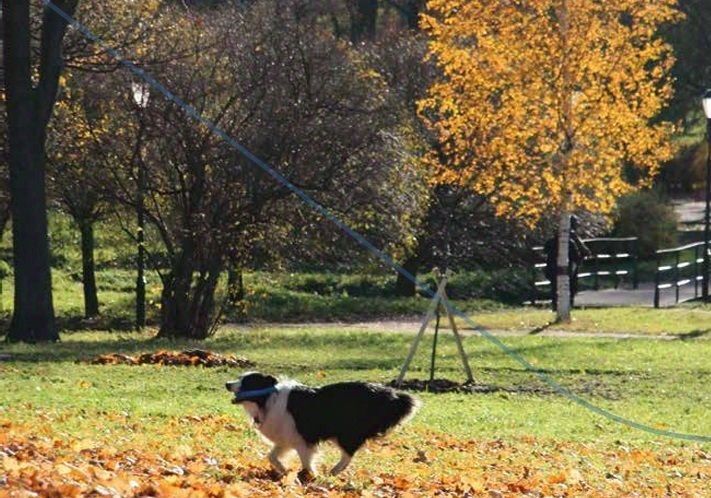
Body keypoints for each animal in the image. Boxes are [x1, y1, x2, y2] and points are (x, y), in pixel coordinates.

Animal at [225, 372, 420, 476]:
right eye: (239, 377)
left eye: (246, 381)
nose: (227, 383)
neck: (268, 398)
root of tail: (385, 393)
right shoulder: (287, 439)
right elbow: (272, 457)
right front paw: (284, 470)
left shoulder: (303, 441)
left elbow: (306, 462)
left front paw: (310, 477)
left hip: (345, 433)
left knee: (348, 455)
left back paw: (334, 471)